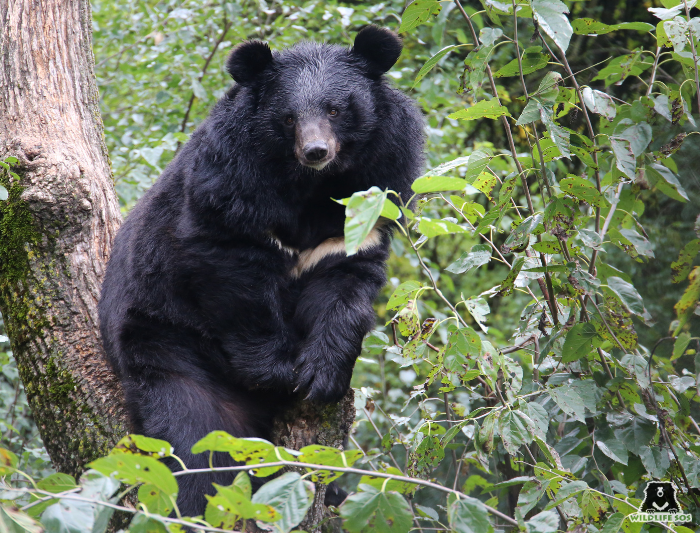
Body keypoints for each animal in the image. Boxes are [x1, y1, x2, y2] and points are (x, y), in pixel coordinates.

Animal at [98, 25, 424, 516]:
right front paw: (282, 372)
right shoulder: (230, 188)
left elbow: (344, 286)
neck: (312, 187)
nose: (316, 151)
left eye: (335, 109)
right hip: (166, 342)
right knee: (196, 440)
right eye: (288, 118)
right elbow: (235, 278)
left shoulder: (367, 202)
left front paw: (322, 375)